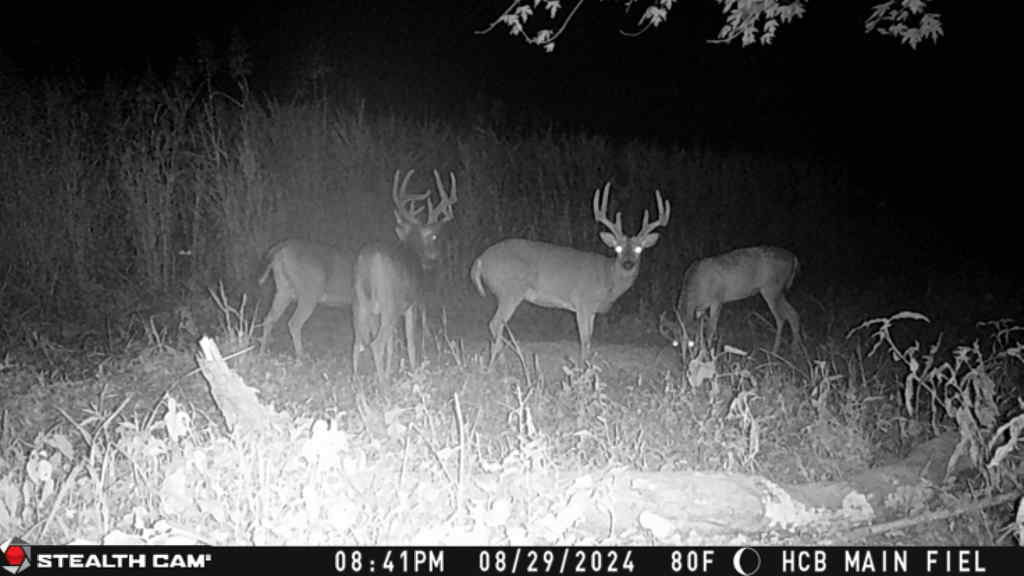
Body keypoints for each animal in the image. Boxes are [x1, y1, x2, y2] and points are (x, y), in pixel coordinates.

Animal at [352, 168, 457, 381]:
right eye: (435, 237)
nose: (438, 256)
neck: (412, 250)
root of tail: (369, 261)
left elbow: (392, 345)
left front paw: (390, 369)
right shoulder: (411, 303)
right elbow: (410, 340)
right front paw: (414, 369)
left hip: (360, 304)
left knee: (357, 344)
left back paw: (356, 380)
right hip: (388, 304)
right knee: (376, 344)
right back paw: (383, 385)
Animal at [471, 182, 670, 369]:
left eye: (639, 249)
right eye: (618, 248)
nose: (628, 263)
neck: (607, 278)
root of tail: (480, 260)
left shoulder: (592, 309)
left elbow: (590, 337)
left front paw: (588, 366)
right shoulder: (583, 302)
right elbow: (584, 338)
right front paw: (582, 369)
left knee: (498, 324)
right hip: (510, 290)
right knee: (495, 322)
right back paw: (495, 365)